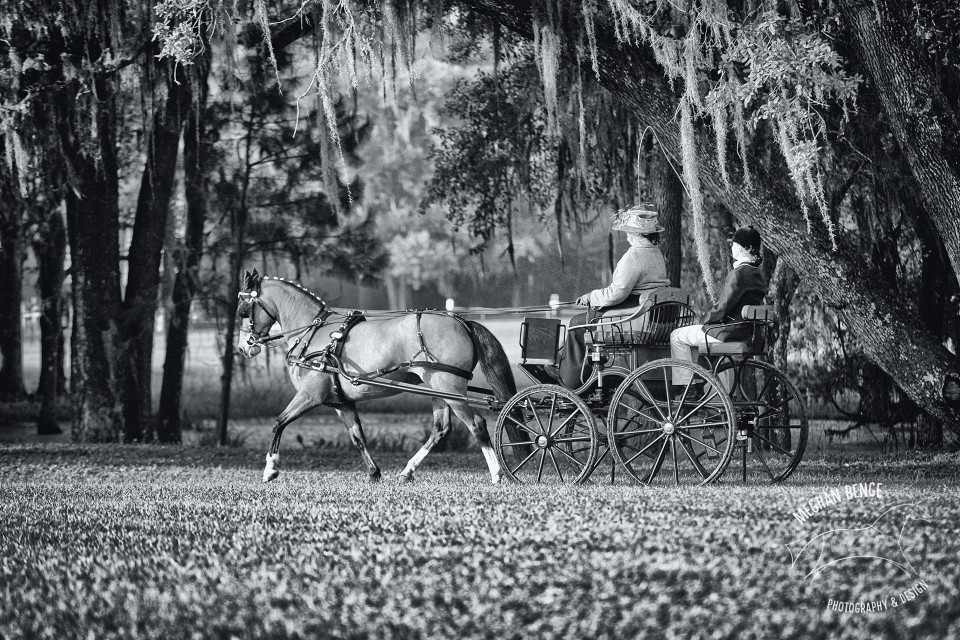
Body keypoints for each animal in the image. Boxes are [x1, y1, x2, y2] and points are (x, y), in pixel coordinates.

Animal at [233, 270, 516, 484]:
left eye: (243, 312)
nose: (244, 347)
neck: (313, 333)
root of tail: (461, 321)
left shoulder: (310, 395)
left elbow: (279, 423)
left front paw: (271, 468)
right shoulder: (342, 403)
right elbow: (358, 438)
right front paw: (374, 473)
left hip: (451, 389)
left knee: (477, 424)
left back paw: (497, 473)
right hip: (437, 390)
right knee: (440, 429)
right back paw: (407, 471)